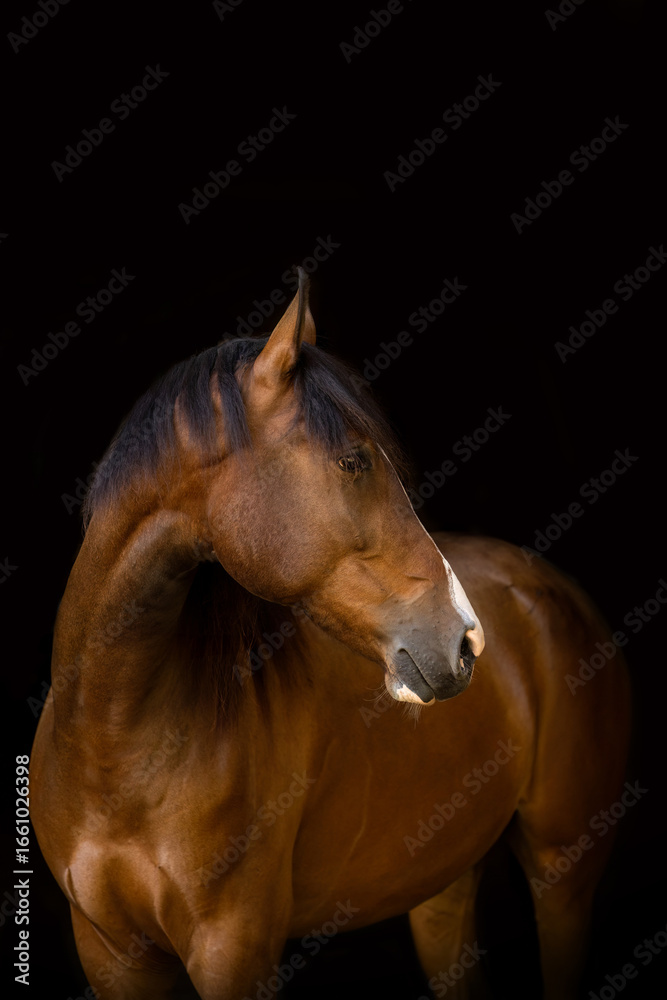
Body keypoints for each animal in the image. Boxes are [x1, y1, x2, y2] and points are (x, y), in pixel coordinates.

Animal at [31, 268, 631, 1000]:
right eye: (352, 461)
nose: (466, 641)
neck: (115, 746)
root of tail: (551, 588)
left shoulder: (232, 952)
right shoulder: (114, 954)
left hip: (562, 871)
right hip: (441, 887)